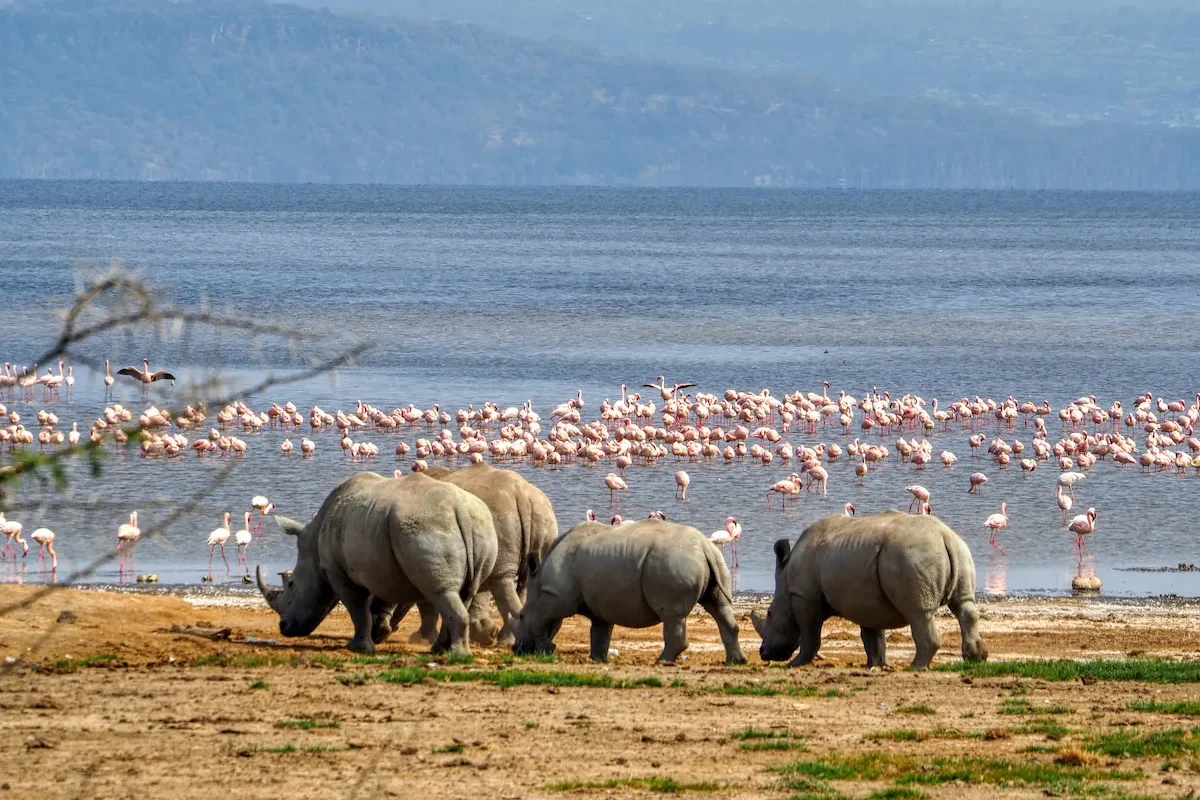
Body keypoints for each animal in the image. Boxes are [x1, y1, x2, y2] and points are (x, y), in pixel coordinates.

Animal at [255, 471, 498, 655]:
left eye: (291, 585)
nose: (283, 627)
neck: (313, 544)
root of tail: (460, 510)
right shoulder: (381, 564)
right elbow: (379, 601)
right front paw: (378, 635)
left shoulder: (338, 570)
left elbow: (357, 608)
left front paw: (358, 648)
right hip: (481, 526)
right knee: (465, 592)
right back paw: (441, 651)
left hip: (428, 525)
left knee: (441, 591)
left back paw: (457, 655)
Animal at [513, 519, 746, 665]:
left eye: (521, 616)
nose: (517, 650)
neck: (539, 581)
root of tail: (705, 547)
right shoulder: (599, 604)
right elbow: (600, 631)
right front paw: (597, 659)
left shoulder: (557, 596)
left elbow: (540, 619)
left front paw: (546, 650)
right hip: (712, 561)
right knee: (719, 607)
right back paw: (735, 662)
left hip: (674, 562)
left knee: (673, 615)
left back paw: (662, 661)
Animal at [751, 510, 987, 669]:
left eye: (770, 614)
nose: (763, 653)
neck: (786, 580)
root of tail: (943, 536)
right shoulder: (865, 599)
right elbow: (872, 634)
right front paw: (876, 665)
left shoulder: (804, 596)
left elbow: (810, 633)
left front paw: (796, 664)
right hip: (959, 550)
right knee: (964, 606)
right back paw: (976, 658)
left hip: (911, 556)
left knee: (919, 613)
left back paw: (916, 667)